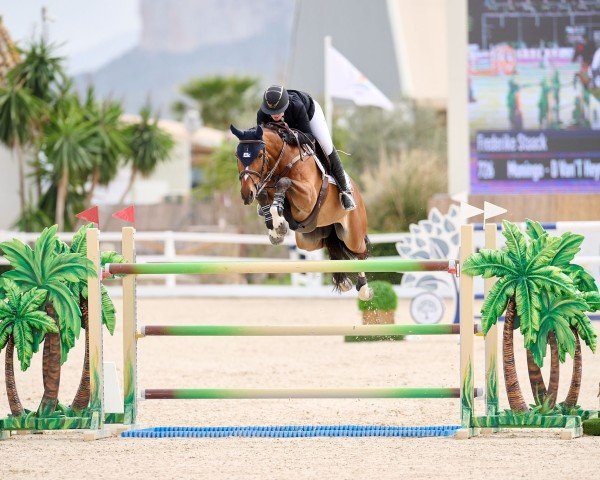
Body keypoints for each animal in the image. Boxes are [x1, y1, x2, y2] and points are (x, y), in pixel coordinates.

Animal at [229, 123, 370, 300]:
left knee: (360, 252)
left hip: (352, 234)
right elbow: (264, 196)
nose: (246, 194)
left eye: (260, 155)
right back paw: (344, 283)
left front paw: (278, 222)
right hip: (309, 241)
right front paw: (276, 230)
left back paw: (364, 289)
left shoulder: (307, 197)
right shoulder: (265, 187)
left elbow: (284, 182)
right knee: (333, 247)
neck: (282, 162)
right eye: (237, 155)